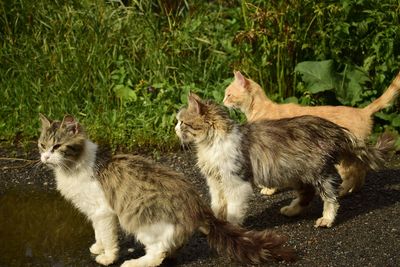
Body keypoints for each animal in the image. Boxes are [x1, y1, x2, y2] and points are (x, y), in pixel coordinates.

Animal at [38, 114, 294, 266]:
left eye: (57, 146)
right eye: (42, 144)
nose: (45, 157)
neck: (72, 168)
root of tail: (195, 203)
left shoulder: (103, 213)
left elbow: (108, 238)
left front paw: (107, 257)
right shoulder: (93, 213)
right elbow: (98, 235)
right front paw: (97, 247)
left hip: (139, 220)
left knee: (157, 254)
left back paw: (133, 263)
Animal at [175, 93, 394, 229]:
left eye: (182, 122)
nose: (175, 128)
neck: (210, 145)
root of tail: (333, 128)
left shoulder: (235, 181)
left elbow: (233, 209)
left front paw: (230, 226)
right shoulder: (215, 181)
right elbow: (217, 205)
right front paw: (216, 224)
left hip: (319, 172)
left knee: (330, 198)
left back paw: (326, 219)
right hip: (294, 172)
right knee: (307, 193)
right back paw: (291, 210)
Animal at [222, 70, 400, 197]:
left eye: (229, 94)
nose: (223, 102)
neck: (260, 110)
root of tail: (362, 111)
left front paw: (269, 189)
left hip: (343, 158)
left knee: (352, 173)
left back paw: (342, 192)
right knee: (361, 170)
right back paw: (354, 190)